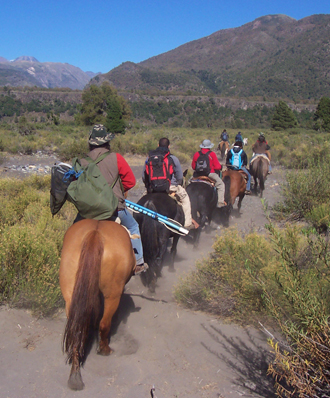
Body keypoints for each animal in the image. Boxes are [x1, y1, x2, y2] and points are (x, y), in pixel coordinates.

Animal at [59, 219, 135, 390]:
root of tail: (95, 234)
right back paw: (105, 349)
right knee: (104, 323)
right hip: (112, 295)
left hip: (70, 293)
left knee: (76, 328)